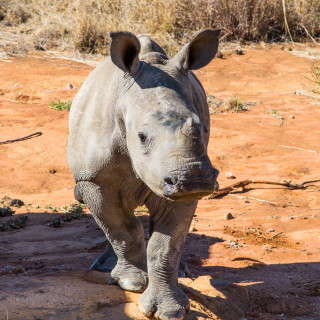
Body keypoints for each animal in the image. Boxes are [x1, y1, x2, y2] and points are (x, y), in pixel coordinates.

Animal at [67, 30, 220, 320]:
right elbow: (121, 228)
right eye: (141, 136)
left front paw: (170, 310)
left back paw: (182, 271)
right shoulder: (93, 178)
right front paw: (131, 282)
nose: (194, 179)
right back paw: (106, 269)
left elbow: (166, 245)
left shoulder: (177, 181)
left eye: (204, 130)